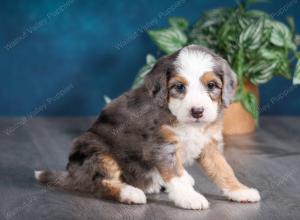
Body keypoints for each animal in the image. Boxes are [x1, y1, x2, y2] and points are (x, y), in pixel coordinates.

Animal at [34, 44, 260, 210]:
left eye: (211, 86)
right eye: (179, 87)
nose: (197, 111)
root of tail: (71, 174)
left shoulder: (209, 143)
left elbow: (223, 169)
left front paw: (240, 190)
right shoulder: (161, 146)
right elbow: (175, 174)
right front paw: (190, 198)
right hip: (97, 150)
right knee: (99, 183)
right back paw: (131, 193)